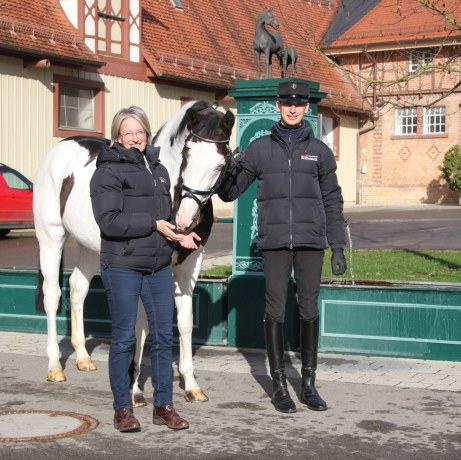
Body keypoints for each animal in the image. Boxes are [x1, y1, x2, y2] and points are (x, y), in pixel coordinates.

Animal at [33, 101, 234, 406]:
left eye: (221, 164)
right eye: (186, 155)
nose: (185, 220)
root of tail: (58, 150)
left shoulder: (189, 265)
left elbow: (185, 323)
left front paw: (190, 385)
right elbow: (141, 325)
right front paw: (135, 388)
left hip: (90, 248)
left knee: (77, 288)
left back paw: (82, 357)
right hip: (51, 238)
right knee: (53, 295)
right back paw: (55, 366)